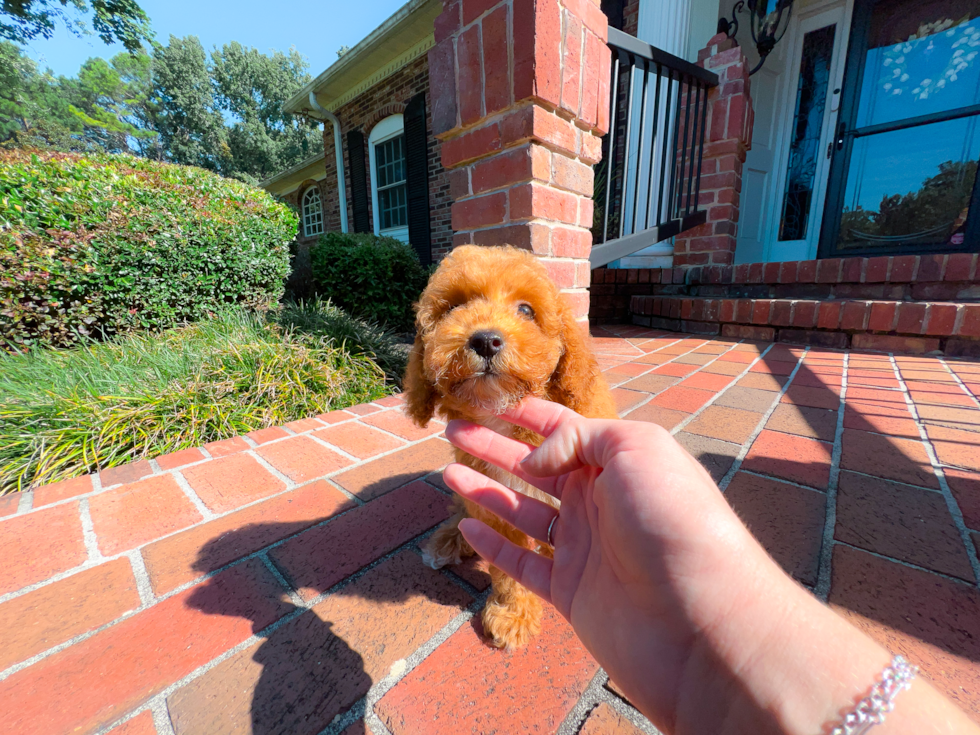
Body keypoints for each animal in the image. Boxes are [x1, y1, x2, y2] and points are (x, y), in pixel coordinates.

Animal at [402, 244, 616, 648]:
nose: (485, 340)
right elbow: (507, 565)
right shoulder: (491, 498)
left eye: (526, 310)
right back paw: (449, 540)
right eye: (455, 306)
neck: (502, 419)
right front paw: (514, 614)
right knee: (461, 512)